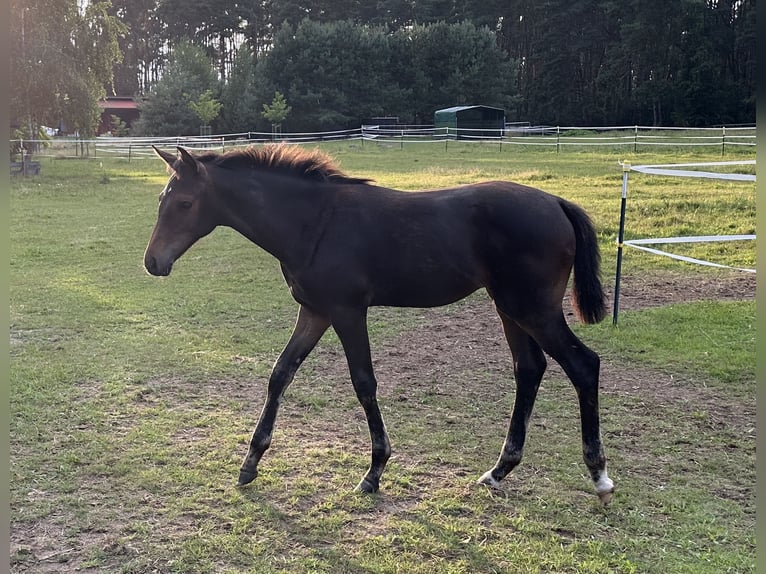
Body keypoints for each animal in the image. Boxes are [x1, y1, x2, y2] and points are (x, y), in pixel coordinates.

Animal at [144, 144, 616, 504]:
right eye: (161, 201)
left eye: (184, 203)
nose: (153, 262)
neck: (315, 222)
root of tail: (557, 203)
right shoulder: (314, 311)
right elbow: (281, 374)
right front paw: (250, 464)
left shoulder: (348, 311)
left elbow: (363, 382)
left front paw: (374, 472)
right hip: (509, 309)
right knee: (529, 369)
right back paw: (499, 470)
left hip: (534, 309)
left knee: (583, 364)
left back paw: (599, 475)